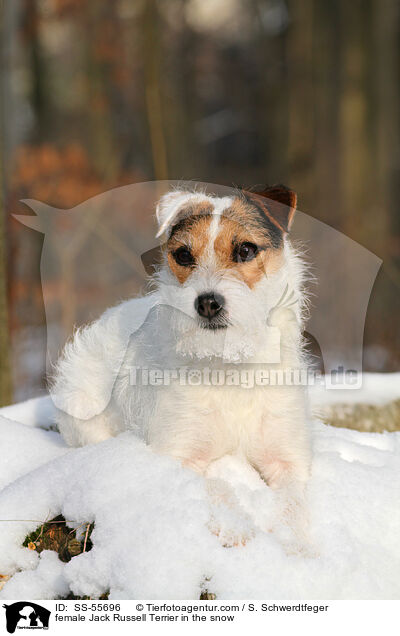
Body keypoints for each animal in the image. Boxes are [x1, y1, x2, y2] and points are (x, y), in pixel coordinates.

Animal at [51, 185, 310, 506]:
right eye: (184, 255)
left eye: (246, 250)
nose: (208, 303)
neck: (229, 365)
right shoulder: (179, 456)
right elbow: (219, 493)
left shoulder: (288, 462)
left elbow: (293, 509)